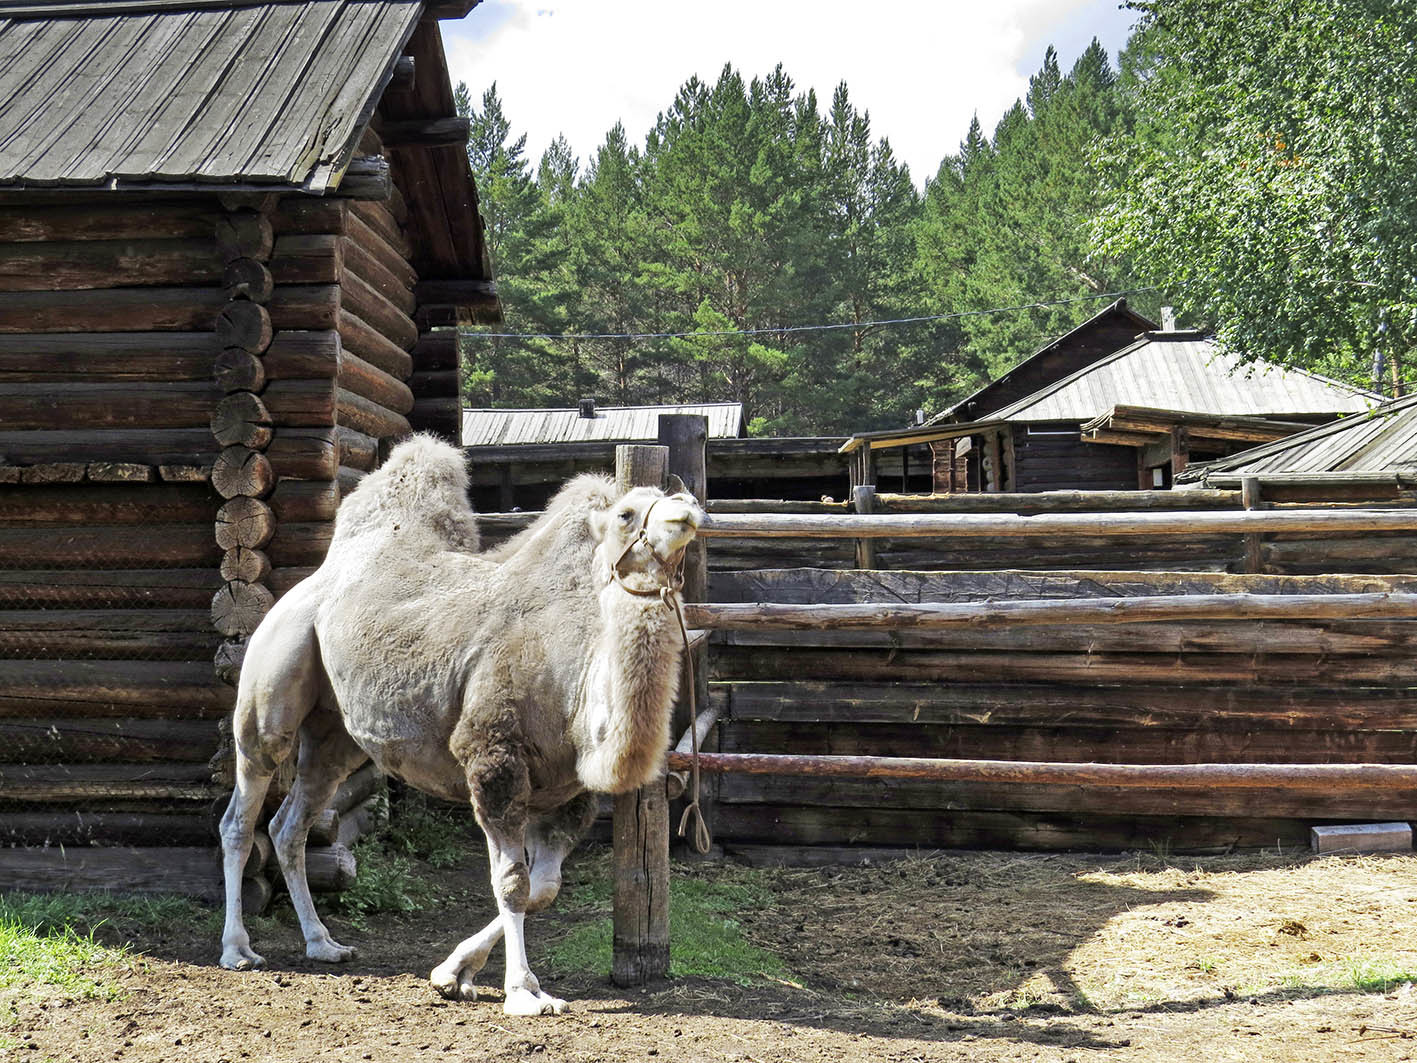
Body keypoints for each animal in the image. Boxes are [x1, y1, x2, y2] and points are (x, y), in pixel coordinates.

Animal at [216, 436, 702, 1020]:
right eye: (628, 513)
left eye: (687, 498)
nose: (685, 514)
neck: (578, 663)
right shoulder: (492, 759)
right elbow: (511, 883)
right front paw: (523, 992)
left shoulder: (567, 793)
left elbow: (544, 888)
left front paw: (453, 973)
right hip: (273, 677)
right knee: (243, 809)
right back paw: (238, 949)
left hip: (336, 734)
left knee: (291, 823)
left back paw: (322, 943)